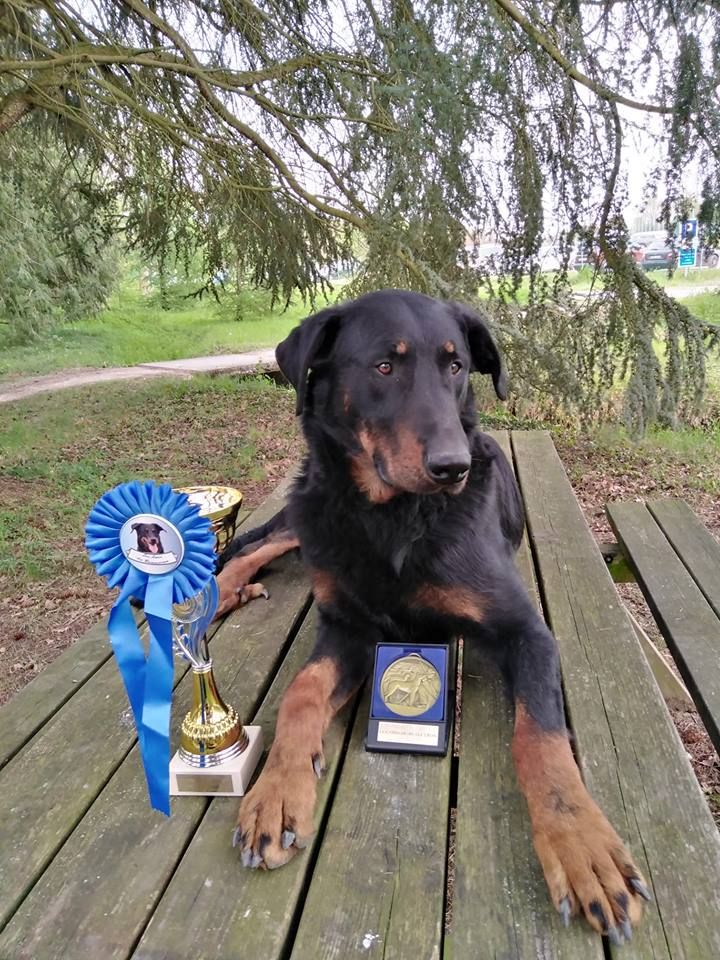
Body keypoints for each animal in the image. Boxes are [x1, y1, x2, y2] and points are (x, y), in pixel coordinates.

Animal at [217, 286, 648, 944]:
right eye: (383, 366)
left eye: (456, 366)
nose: (453, 467)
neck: (395, 519)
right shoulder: (348, 626)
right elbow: (301, 690)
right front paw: (277, 793)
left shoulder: (525, 632)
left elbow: (541, 738)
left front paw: (581, 845)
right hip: (311, 510)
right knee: (257, 543)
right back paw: (213, 593)